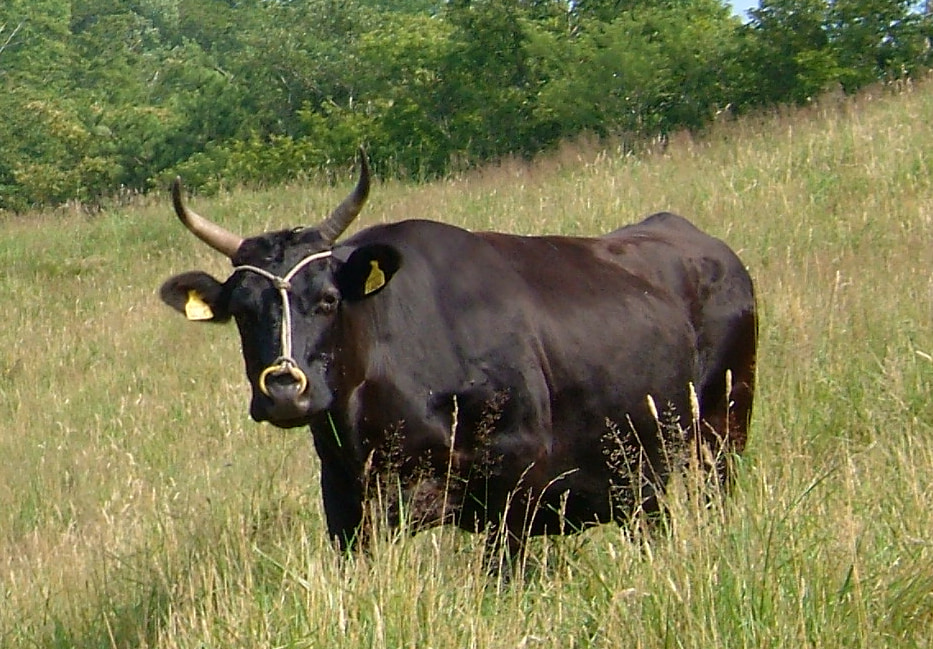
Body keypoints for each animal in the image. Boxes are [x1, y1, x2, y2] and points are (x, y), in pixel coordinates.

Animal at [159, 150, 756, 566]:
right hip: (642, 477)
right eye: (242, 310)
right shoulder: (348, 507)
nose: (283, 389)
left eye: (327, 299)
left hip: (721, 436)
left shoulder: (513, 491)